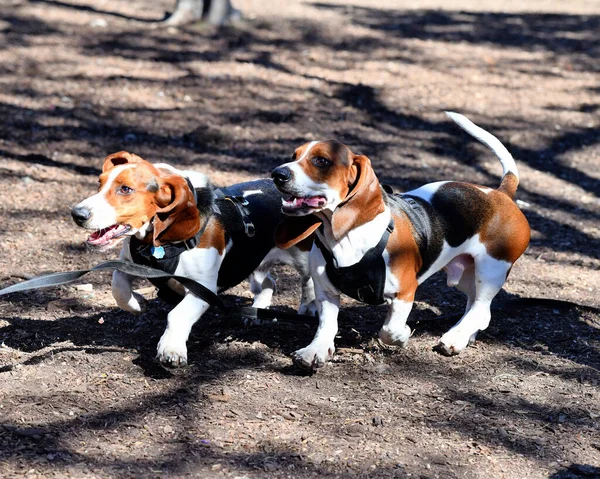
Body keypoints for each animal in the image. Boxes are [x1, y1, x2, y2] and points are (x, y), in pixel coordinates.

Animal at [72, 152, 316, 370]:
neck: (158, 241)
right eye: (100, 183)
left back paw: (309, 307)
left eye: (125, 189)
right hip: (251, 261)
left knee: (309, 281)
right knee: (268, 284)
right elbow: (118, 287)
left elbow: (177, 315)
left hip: (303, 256)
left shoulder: (202, 288)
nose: (77, 214)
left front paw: (171, 349)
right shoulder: (128, 264)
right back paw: (258, 311)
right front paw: (138, 303)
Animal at [272, 113, 528, 372]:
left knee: (482, 311)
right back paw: (464, 336)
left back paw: (455, 337)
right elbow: (326, 325)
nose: (277, 174)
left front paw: (404, 335)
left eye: (321, 161)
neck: (346, 239)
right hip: (466, 274)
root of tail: (500, 193)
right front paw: (315, 350)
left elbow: (390, 330)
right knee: (475, 306)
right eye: (294, 156)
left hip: (491, 270)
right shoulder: (326, 292)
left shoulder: (405, 292)